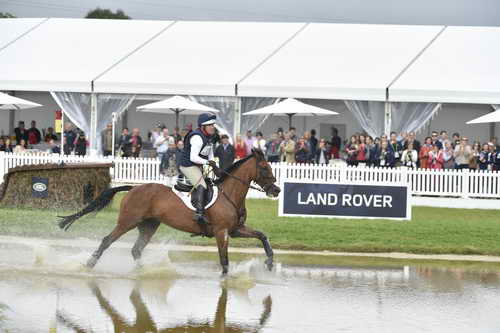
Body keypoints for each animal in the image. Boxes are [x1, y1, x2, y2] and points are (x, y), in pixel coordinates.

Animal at [58, 149, 282, 274]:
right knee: (107, 240)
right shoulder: (222, 232)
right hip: (128, 222)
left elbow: (262, 236)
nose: (276, 190)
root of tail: (133, 188)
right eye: (264, 168)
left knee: (136, 250)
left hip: (149, 225)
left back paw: (145, 272)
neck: (231, 194)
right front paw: (225, 280)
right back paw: (89, 264)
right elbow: (224, 261)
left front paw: (270, 263)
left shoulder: (235, 230)